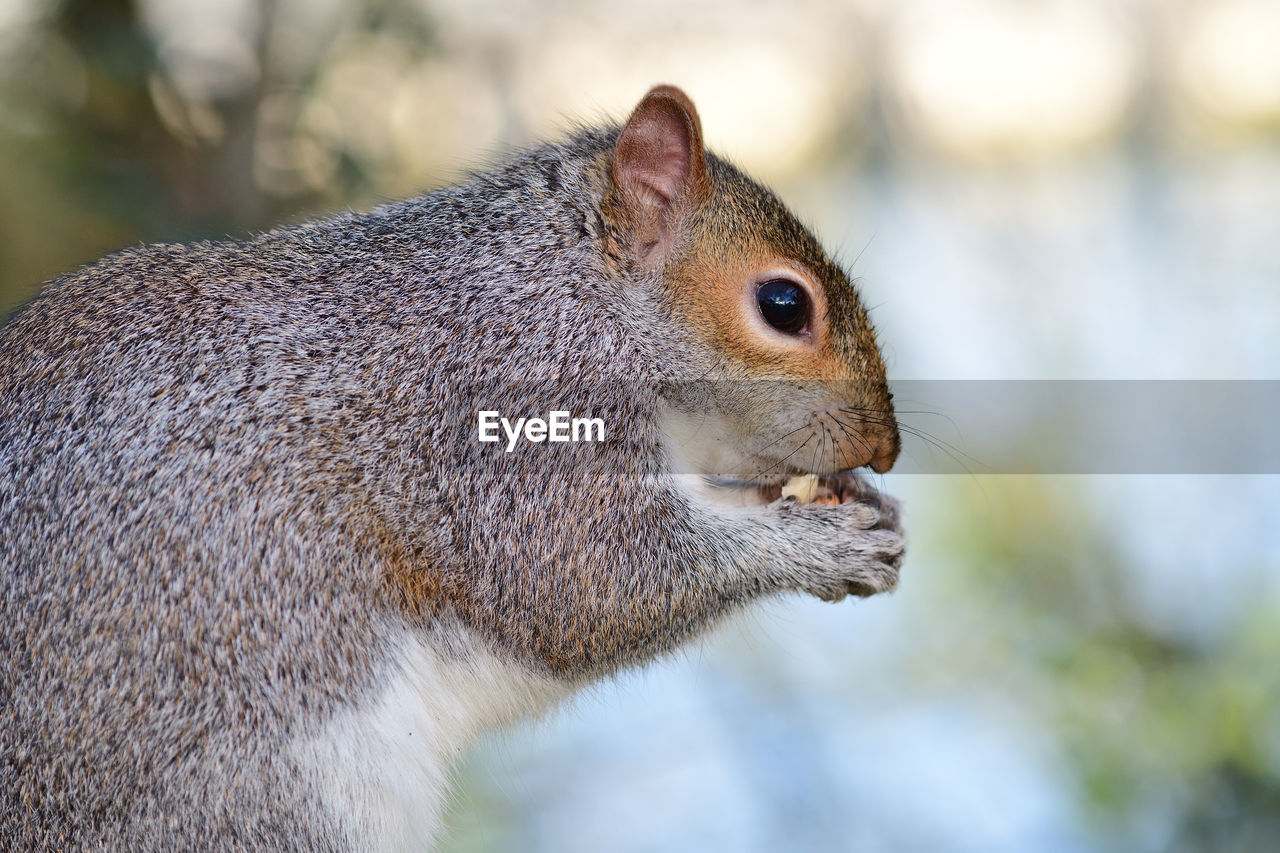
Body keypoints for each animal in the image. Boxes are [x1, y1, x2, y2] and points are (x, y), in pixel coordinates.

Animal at [0, 84, 901, 845]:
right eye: (784, 304)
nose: (885, 447)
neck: (572, 292)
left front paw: (863, 505)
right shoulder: (502, 418)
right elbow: (588, 582)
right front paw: (819, 545)